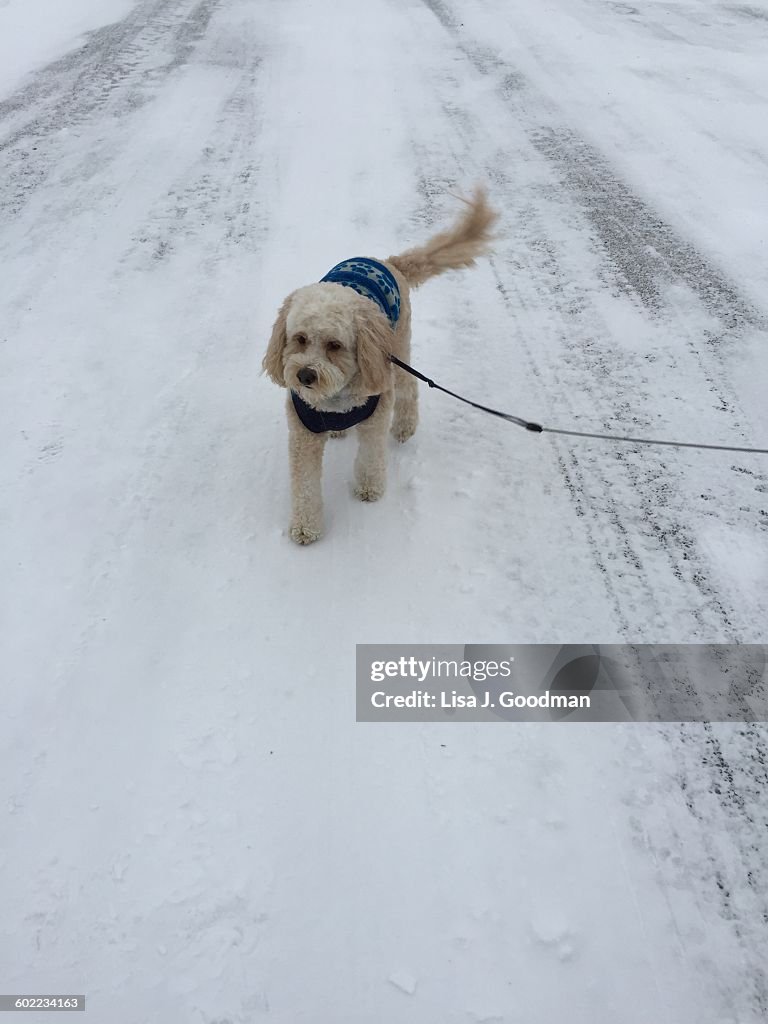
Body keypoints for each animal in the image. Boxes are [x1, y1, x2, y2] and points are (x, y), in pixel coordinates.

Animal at [264, 189, 499, 548]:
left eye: (335, 345)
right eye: (299, 339)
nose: (305, 376)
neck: (335, 399)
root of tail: (388, 261)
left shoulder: (375, 414)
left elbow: (370, 456)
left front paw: (369, 488)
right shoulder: (303, 434)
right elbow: (304, 485)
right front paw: (305, 527)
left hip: (398, 351)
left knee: (409, 389)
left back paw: (404, 427)